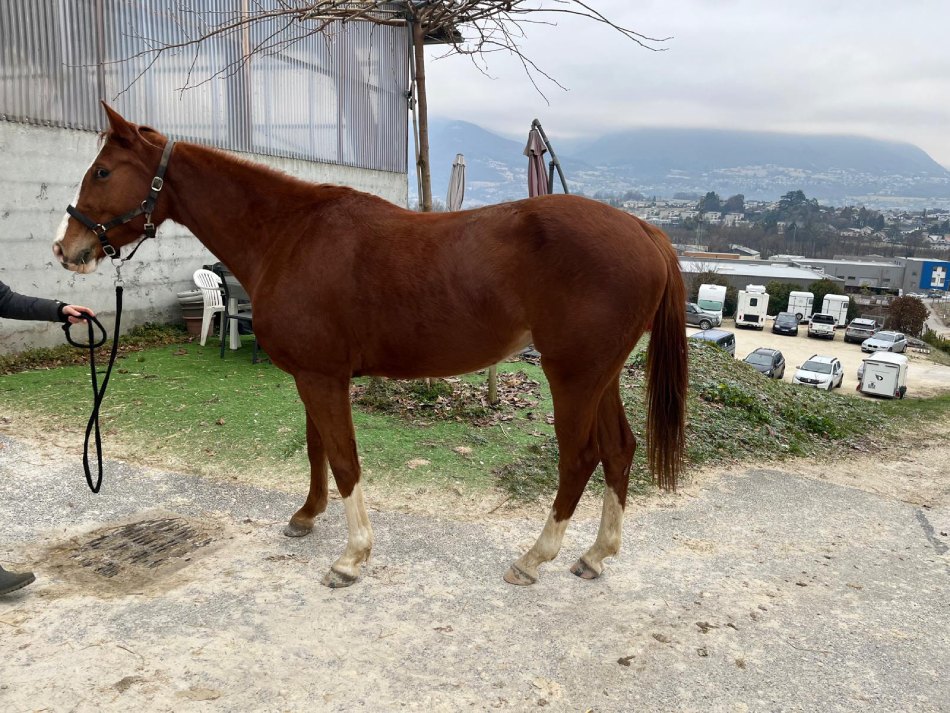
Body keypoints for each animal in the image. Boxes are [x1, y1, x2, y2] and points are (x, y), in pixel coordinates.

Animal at [53, 105, 688, 588]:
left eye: (103, 171)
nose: (67, 247)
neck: (289, 235)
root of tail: (645, 230)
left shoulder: (322, 377)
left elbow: (343, 459)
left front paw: (352, 556)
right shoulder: (313, 374)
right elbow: (317, 449)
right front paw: (306, 517)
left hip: (572, 375)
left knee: (580, 458)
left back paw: (533, 559)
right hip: (600, 375)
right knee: (620, 449)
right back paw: (595, 556)